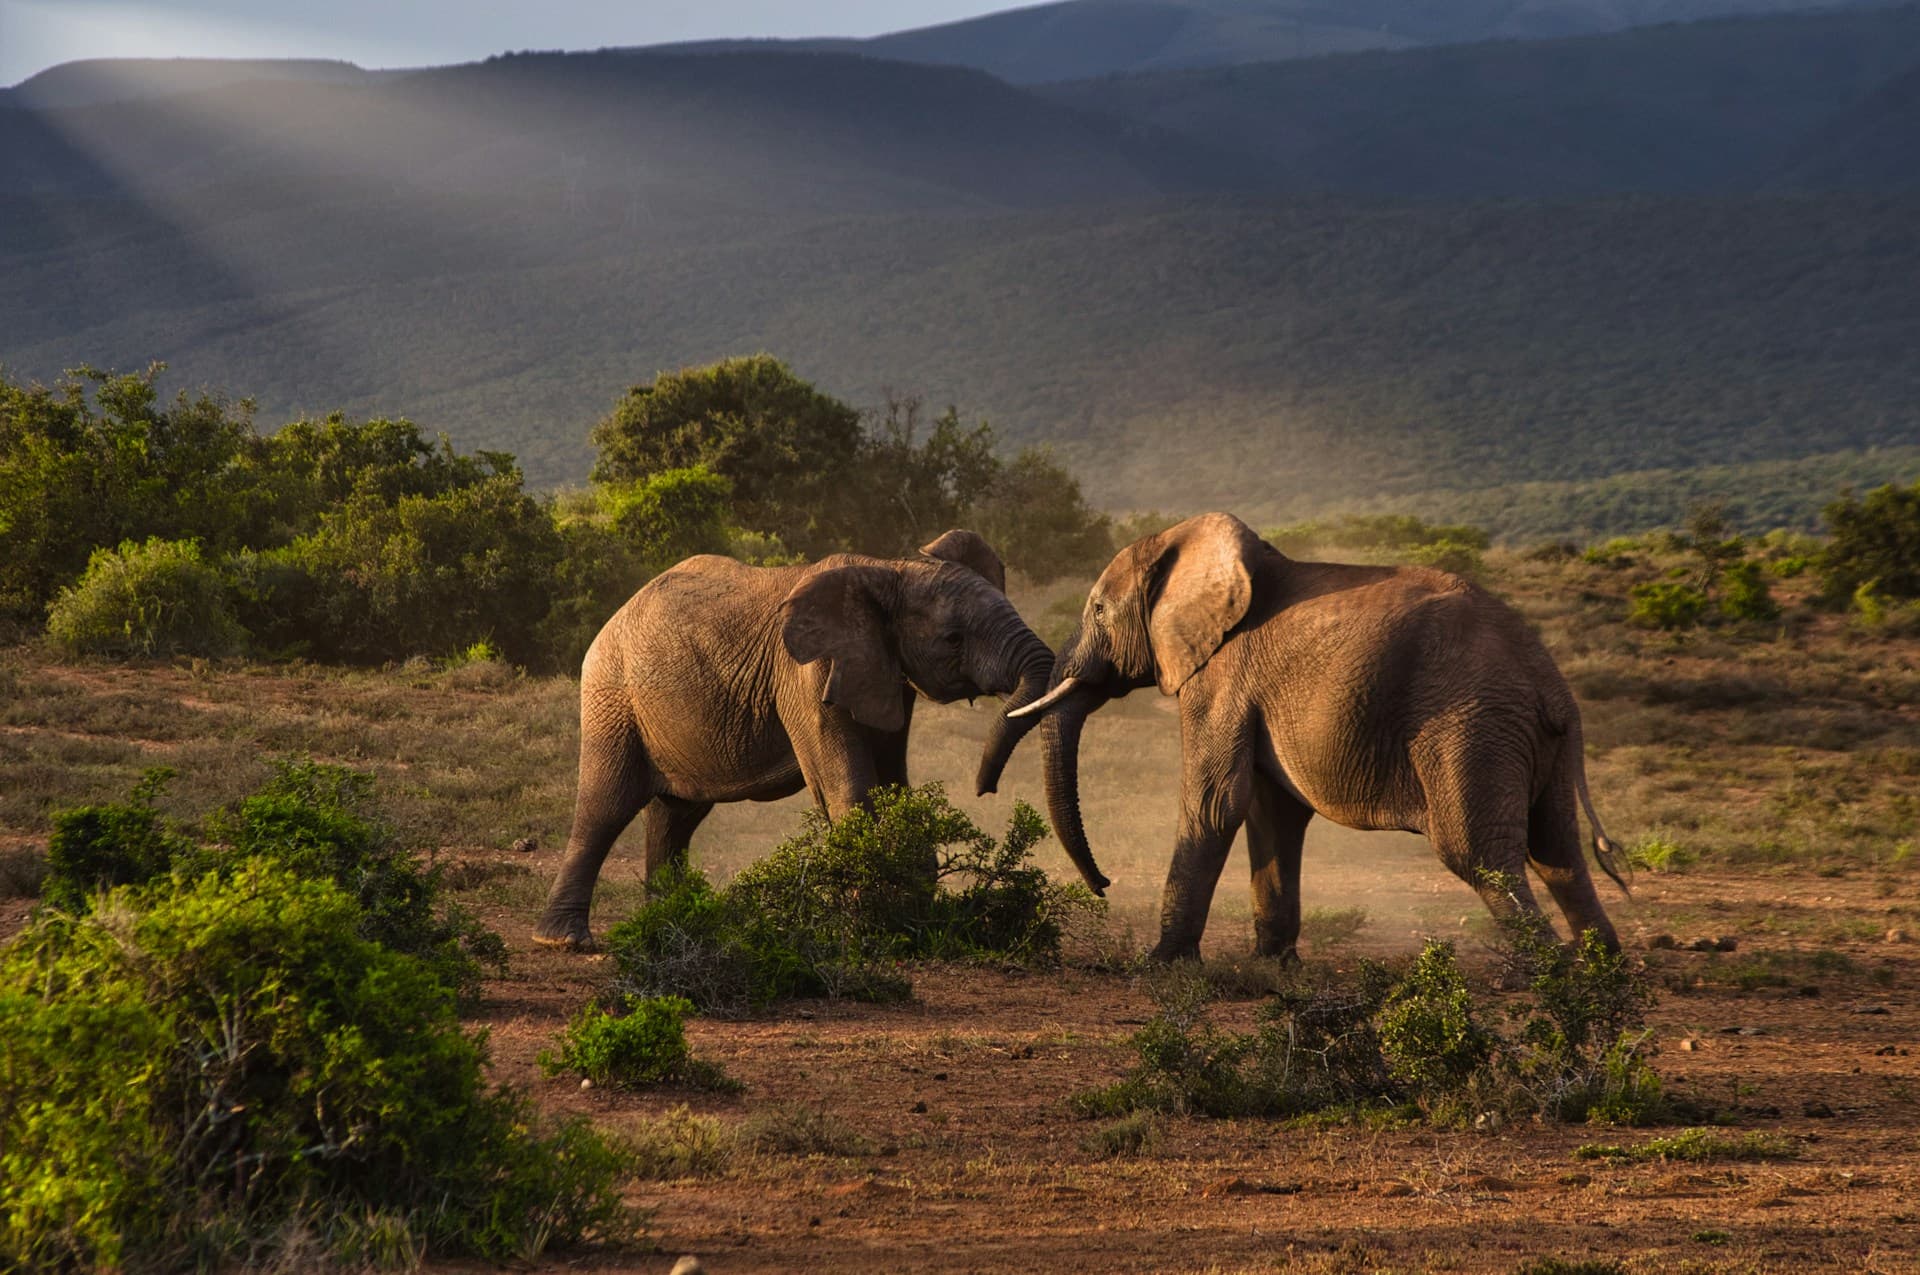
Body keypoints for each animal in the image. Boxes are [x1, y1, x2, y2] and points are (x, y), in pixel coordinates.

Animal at [533, 529, 1054, 948]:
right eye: (953, 638)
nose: (984, 788)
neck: (891, 568)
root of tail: (618, 613)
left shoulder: (883, 673)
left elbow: (894, 785)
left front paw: (915, 921)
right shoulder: (806, 676)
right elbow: (847, 789)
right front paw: (870, 929)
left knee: (675, 816)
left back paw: (667, 927)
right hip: (611, 695)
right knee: (607, 804)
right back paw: (564, 941)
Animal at [1012, 512, 1629, 964]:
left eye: (1098, 609)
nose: (1104, 884)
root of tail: (1552, 684)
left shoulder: (1223, 676)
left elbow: (1215, 804)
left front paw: (1162, 964)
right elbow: (1270, 811)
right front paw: (1273, 967)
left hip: (1471, 727)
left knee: (1479, 853)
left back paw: (1546, 978)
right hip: (1529, 740)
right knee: (1557, 850)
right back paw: (1602, 972)